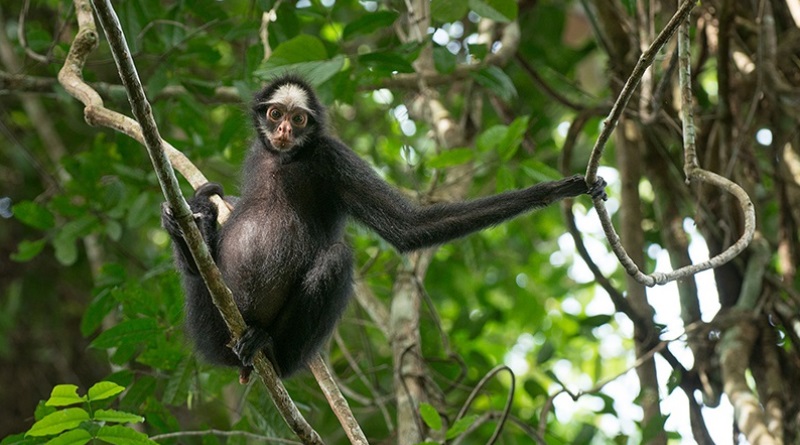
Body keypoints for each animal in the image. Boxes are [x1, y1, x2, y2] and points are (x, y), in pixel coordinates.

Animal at [162, 74, 608, 380]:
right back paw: (191, 231)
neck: (285, 160)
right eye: (276, 114)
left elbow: (407, 228)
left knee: (337, 257)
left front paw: (558, 189)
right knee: (199, 273)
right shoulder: (263, 151)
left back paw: (269, 348)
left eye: (298, 118)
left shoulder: (331, 156)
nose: (285, 130)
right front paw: (189, 218)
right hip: (208, 322)